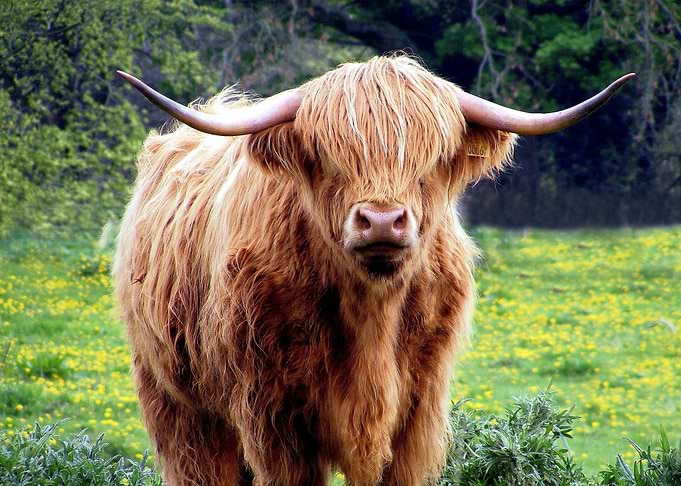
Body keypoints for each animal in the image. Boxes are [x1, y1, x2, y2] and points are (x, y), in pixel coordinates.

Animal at [113, 55, 633, 485]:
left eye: (431, 159)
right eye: (329, 157)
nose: (382, 220)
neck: (371, 316)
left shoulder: (416, 416)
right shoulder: (274, 417)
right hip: (178, 404)